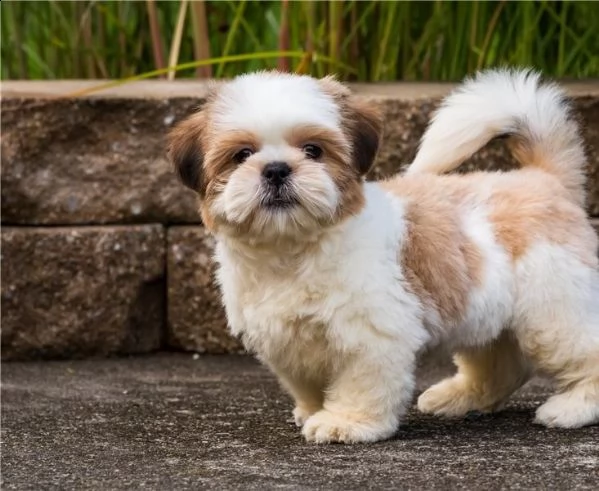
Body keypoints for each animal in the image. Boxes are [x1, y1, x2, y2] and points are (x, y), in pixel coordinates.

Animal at [168, 67, 599, 444]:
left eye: (313, 150)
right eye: (242, 155)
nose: (276, 169)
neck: (292, 249)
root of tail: (543, 180)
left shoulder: (371, 332)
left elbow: (362, 380)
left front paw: (344, 422)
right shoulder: (283, 339)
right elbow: (305, 381)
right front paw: (312, 409)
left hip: (552, 307)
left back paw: (572, 407)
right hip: (488, 311)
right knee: (501, 362)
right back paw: (459, 397)